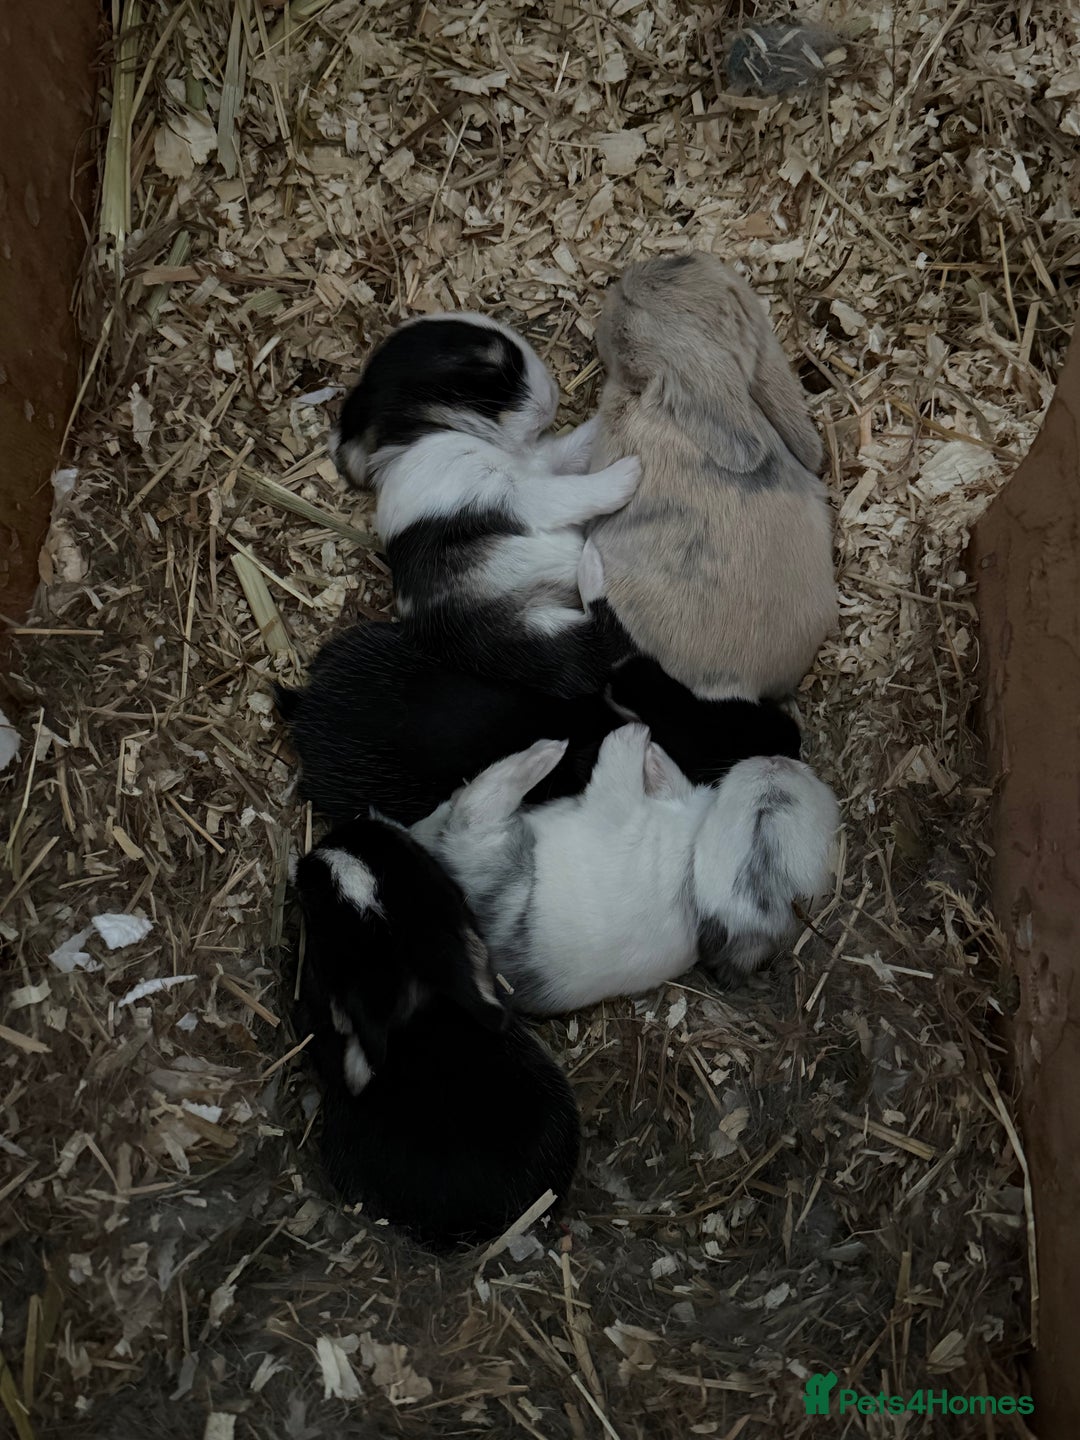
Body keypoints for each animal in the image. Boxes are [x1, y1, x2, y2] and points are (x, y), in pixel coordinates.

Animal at [329, 312, 640, 696]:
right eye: (490, 369)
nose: (552, 396)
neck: (435, 433)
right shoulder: (510, 492)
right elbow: (568, 492)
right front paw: (627, 473)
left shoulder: (543, 462)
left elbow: (578, 445)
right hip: (537, 637)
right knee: (602, 645)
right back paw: (591, 564)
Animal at [412, 725, 840, 1015]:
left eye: (767, 814)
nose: (775, 760)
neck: (693, 860)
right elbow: (670, 782)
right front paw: (653, 753)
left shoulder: (618, 816)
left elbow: (614, 778)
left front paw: (632, 736)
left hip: (493, 857)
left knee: (479, 805)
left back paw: (548, 752)